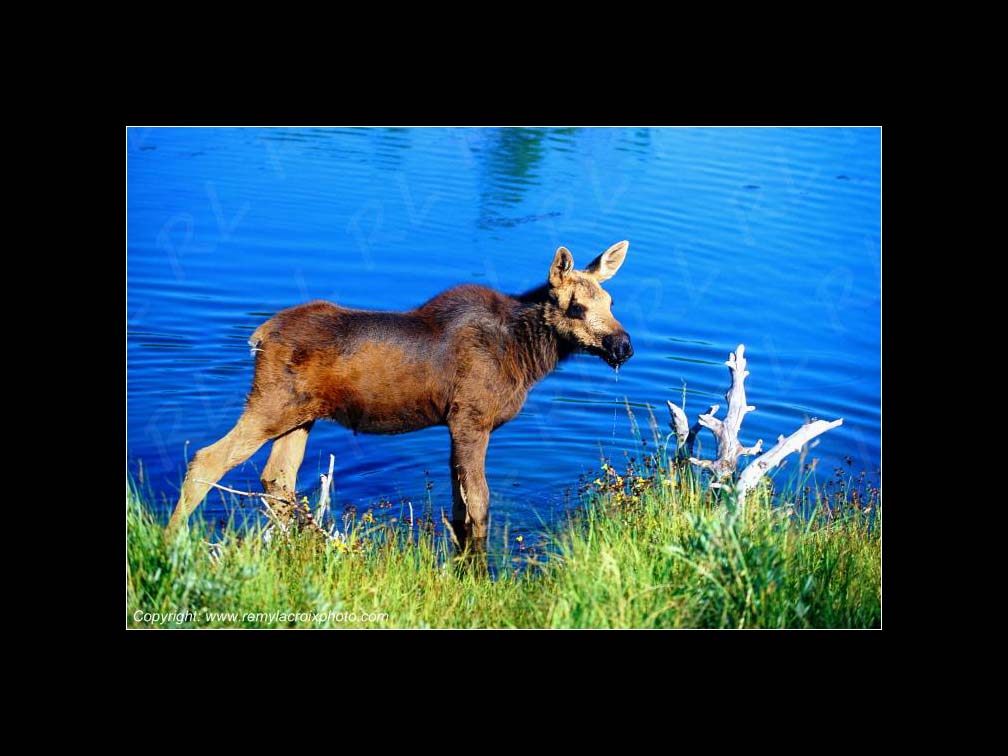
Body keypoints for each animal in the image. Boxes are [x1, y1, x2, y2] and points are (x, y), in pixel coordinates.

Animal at [167, 240, 633, 550]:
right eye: (576, 307)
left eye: (611, 301)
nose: (624, 346)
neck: (525, 354)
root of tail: (259, 337)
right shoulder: (470, 419)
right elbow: (479, 503)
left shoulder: (455, 424)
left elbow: (460, 501)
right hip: (270, 405)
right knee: (207, 459)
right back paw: (172, 541)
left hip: (300, 417)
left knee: (277, 478)